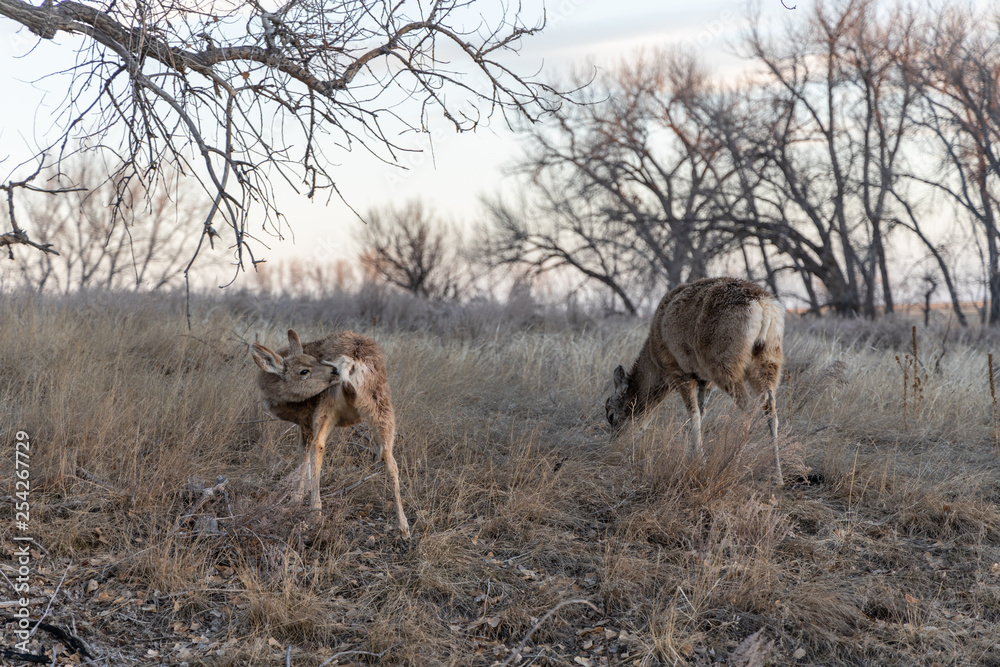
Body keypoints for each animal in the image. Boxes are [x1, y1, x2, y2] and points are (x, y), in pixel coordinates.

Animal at [250, 328, 410, 537]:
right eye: (305, 369)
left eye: (310, 364)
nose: (332, 370)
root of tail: (353, 363)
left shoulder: (305, 418)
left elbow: (302, 456)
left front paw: (296, 499)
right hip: (380, 403)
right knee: (389, 456)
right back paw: (403, 526)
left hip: (328, 402)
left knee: (318, 447)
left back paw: (315, 513)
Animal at [604, 277, 786, 485]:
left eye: (610, 415)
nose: (613, 446)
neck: (655, 360)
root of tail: (764, 306)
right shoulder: (705, 380)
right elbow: (702, 411)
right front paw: (699, 456)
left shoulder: (679, 371)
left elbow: (694, 414)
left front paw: (698, 459)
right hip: (769, 359)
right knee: (770, 408)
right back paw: (778, 476)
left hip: (724, 363)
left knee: (749, 407)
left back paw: (732, 464)